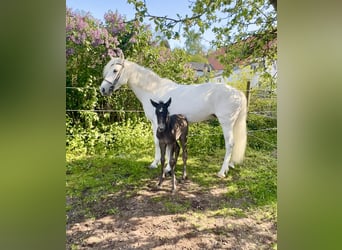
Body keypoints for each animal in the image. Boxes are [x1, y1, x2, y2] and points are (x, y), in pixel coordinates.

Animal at [99, 54, 246, 178]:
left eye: (115, 70)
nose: (103, 89)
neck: (153, 90)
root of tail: (237, 93)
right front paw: (166, 166)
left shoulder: (156, 123)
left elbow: (157, 142)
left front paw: (156, 164)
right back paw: (229, 166)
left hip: (226, 123)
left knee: (230, 144)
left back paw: (221, 172)